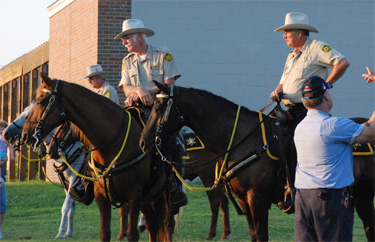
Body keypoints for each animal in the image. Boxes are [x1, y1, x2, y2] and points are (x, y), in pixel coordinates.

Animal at [22, 74, 176, 242]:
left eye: (41, 101)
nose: (25, 134)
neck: (112, 144)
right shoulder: (101, 197)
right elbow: (104, 232)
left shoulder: (134, 196)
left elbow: (132, 234)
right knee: (152, 224)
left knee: (165, 224)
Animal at [140, 82, 375, 242]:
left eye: (159, 108)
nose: (144, 141)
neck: (240, 138)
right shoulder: (244, 199)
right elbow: (254, 234)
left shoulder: (257, 199)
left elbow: (262, 235)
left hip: (363, 195)